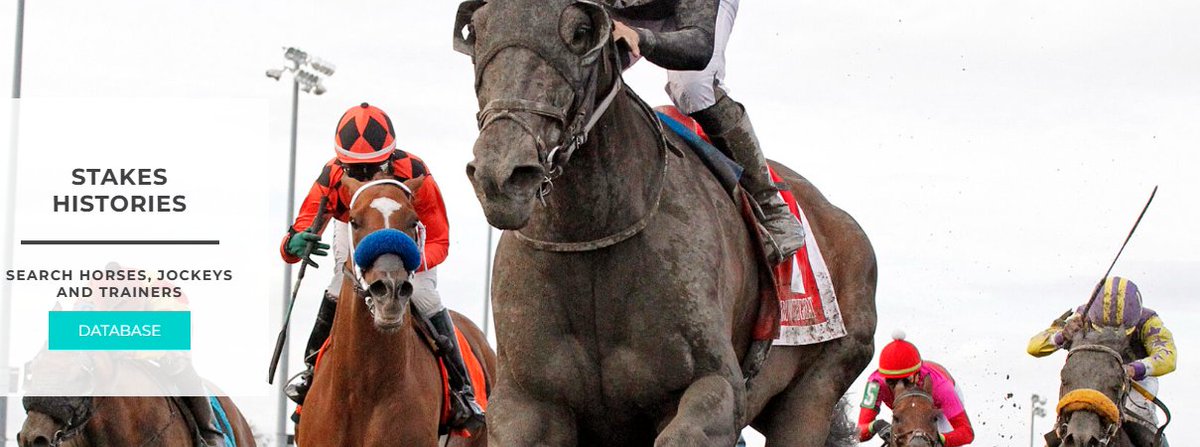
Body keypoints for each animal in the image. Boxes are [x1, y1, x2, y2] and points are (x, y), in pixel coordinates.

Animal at [453, 0, 878, 444]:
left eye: (580, 32)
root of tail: (844, 224)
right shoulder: (528, 404)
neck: (593, 233)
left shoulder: (715, 386)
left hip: (814, 390)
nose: (501, 175)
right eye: (477, 31)